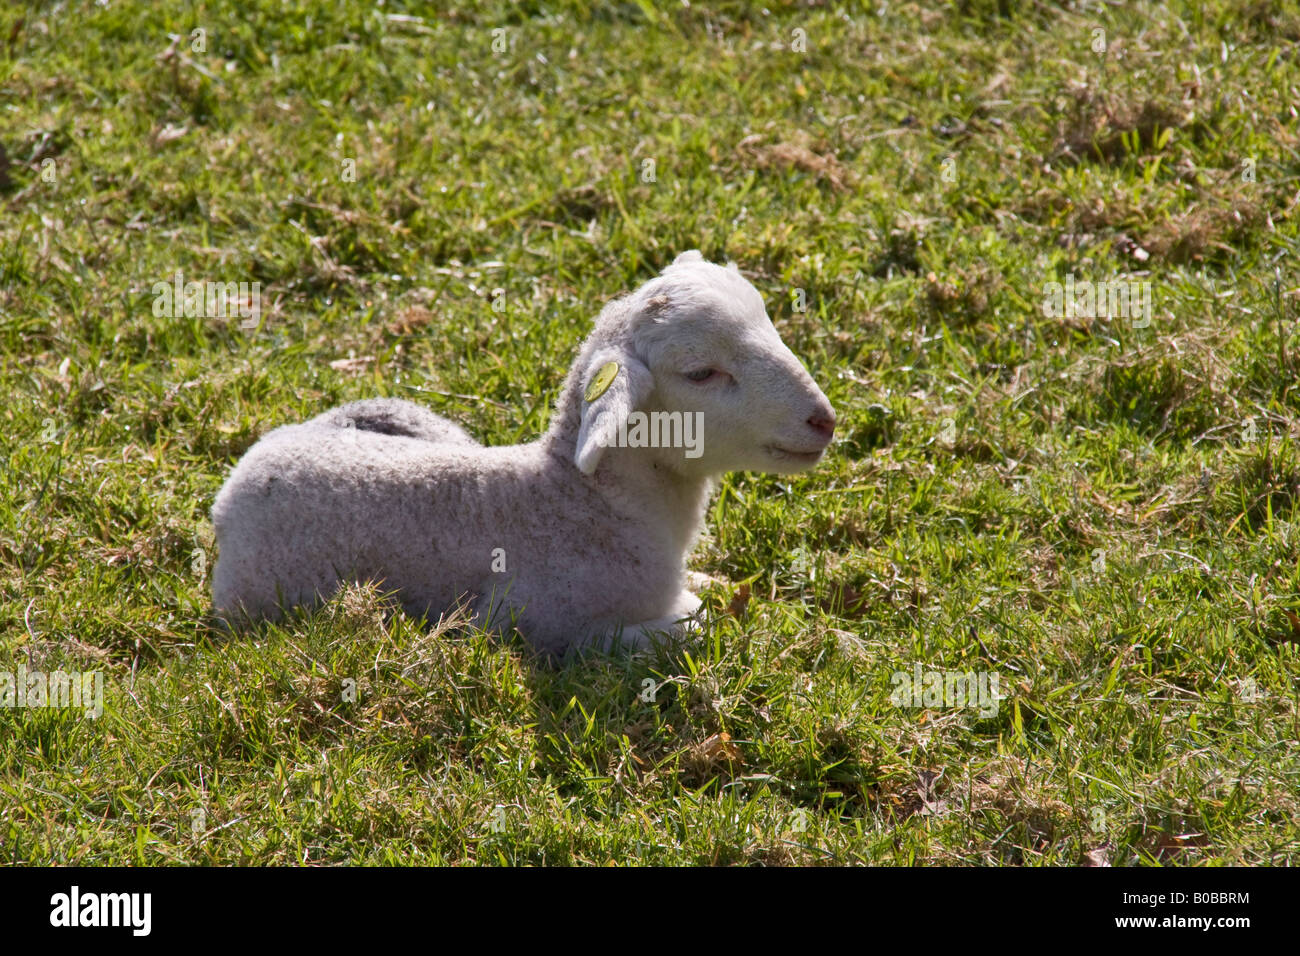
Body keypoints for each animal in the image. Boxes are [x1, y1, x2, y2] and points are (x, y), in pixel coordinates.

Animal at [210, 252, 842, 658]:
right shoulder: (534, 624)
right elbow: (691, 624)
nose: (824, 420)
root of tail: (243, 474)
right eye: (701, 372)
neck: (581, 502)